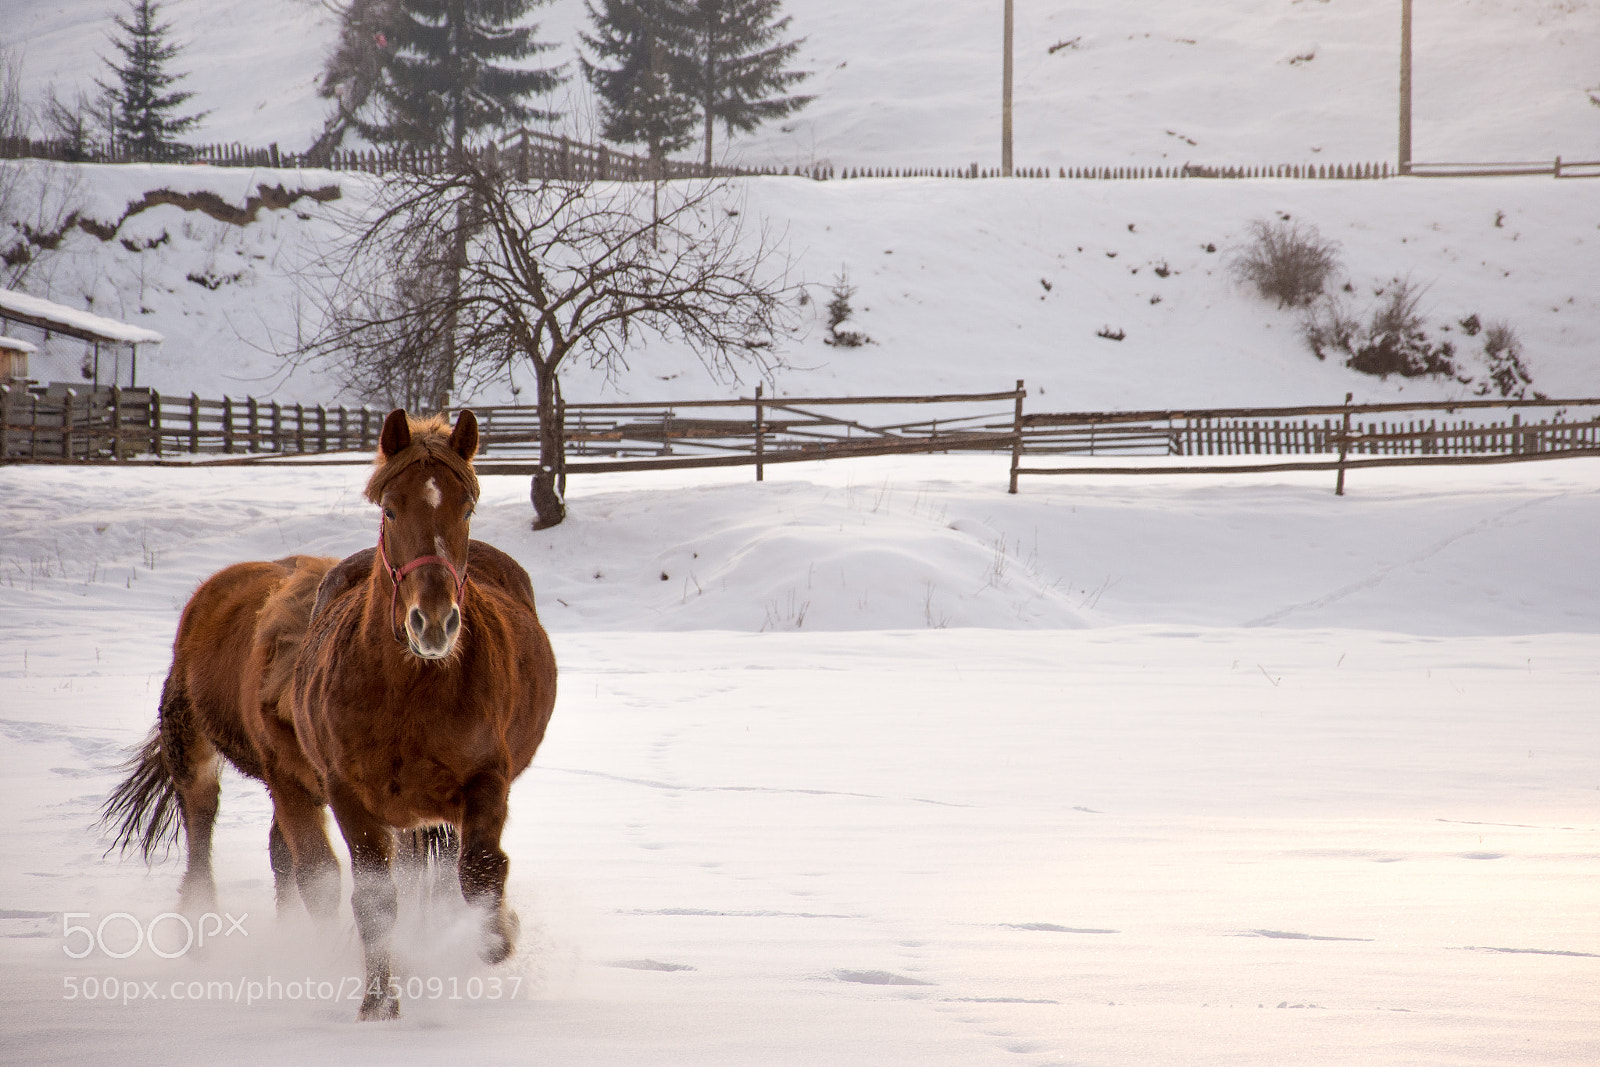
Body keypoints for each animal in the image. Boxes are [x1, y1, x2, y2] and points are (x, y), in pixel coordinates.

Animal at [289, 408, 558, 1021]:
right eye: (391, 509)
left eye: (467, 508)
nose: (433, 623)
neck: (405, 694)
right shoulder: (349, 795)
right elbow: (376, 901)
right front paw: (378, 1002)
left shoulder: (484, 784)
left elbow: (481, 874)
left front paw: (501, 931)